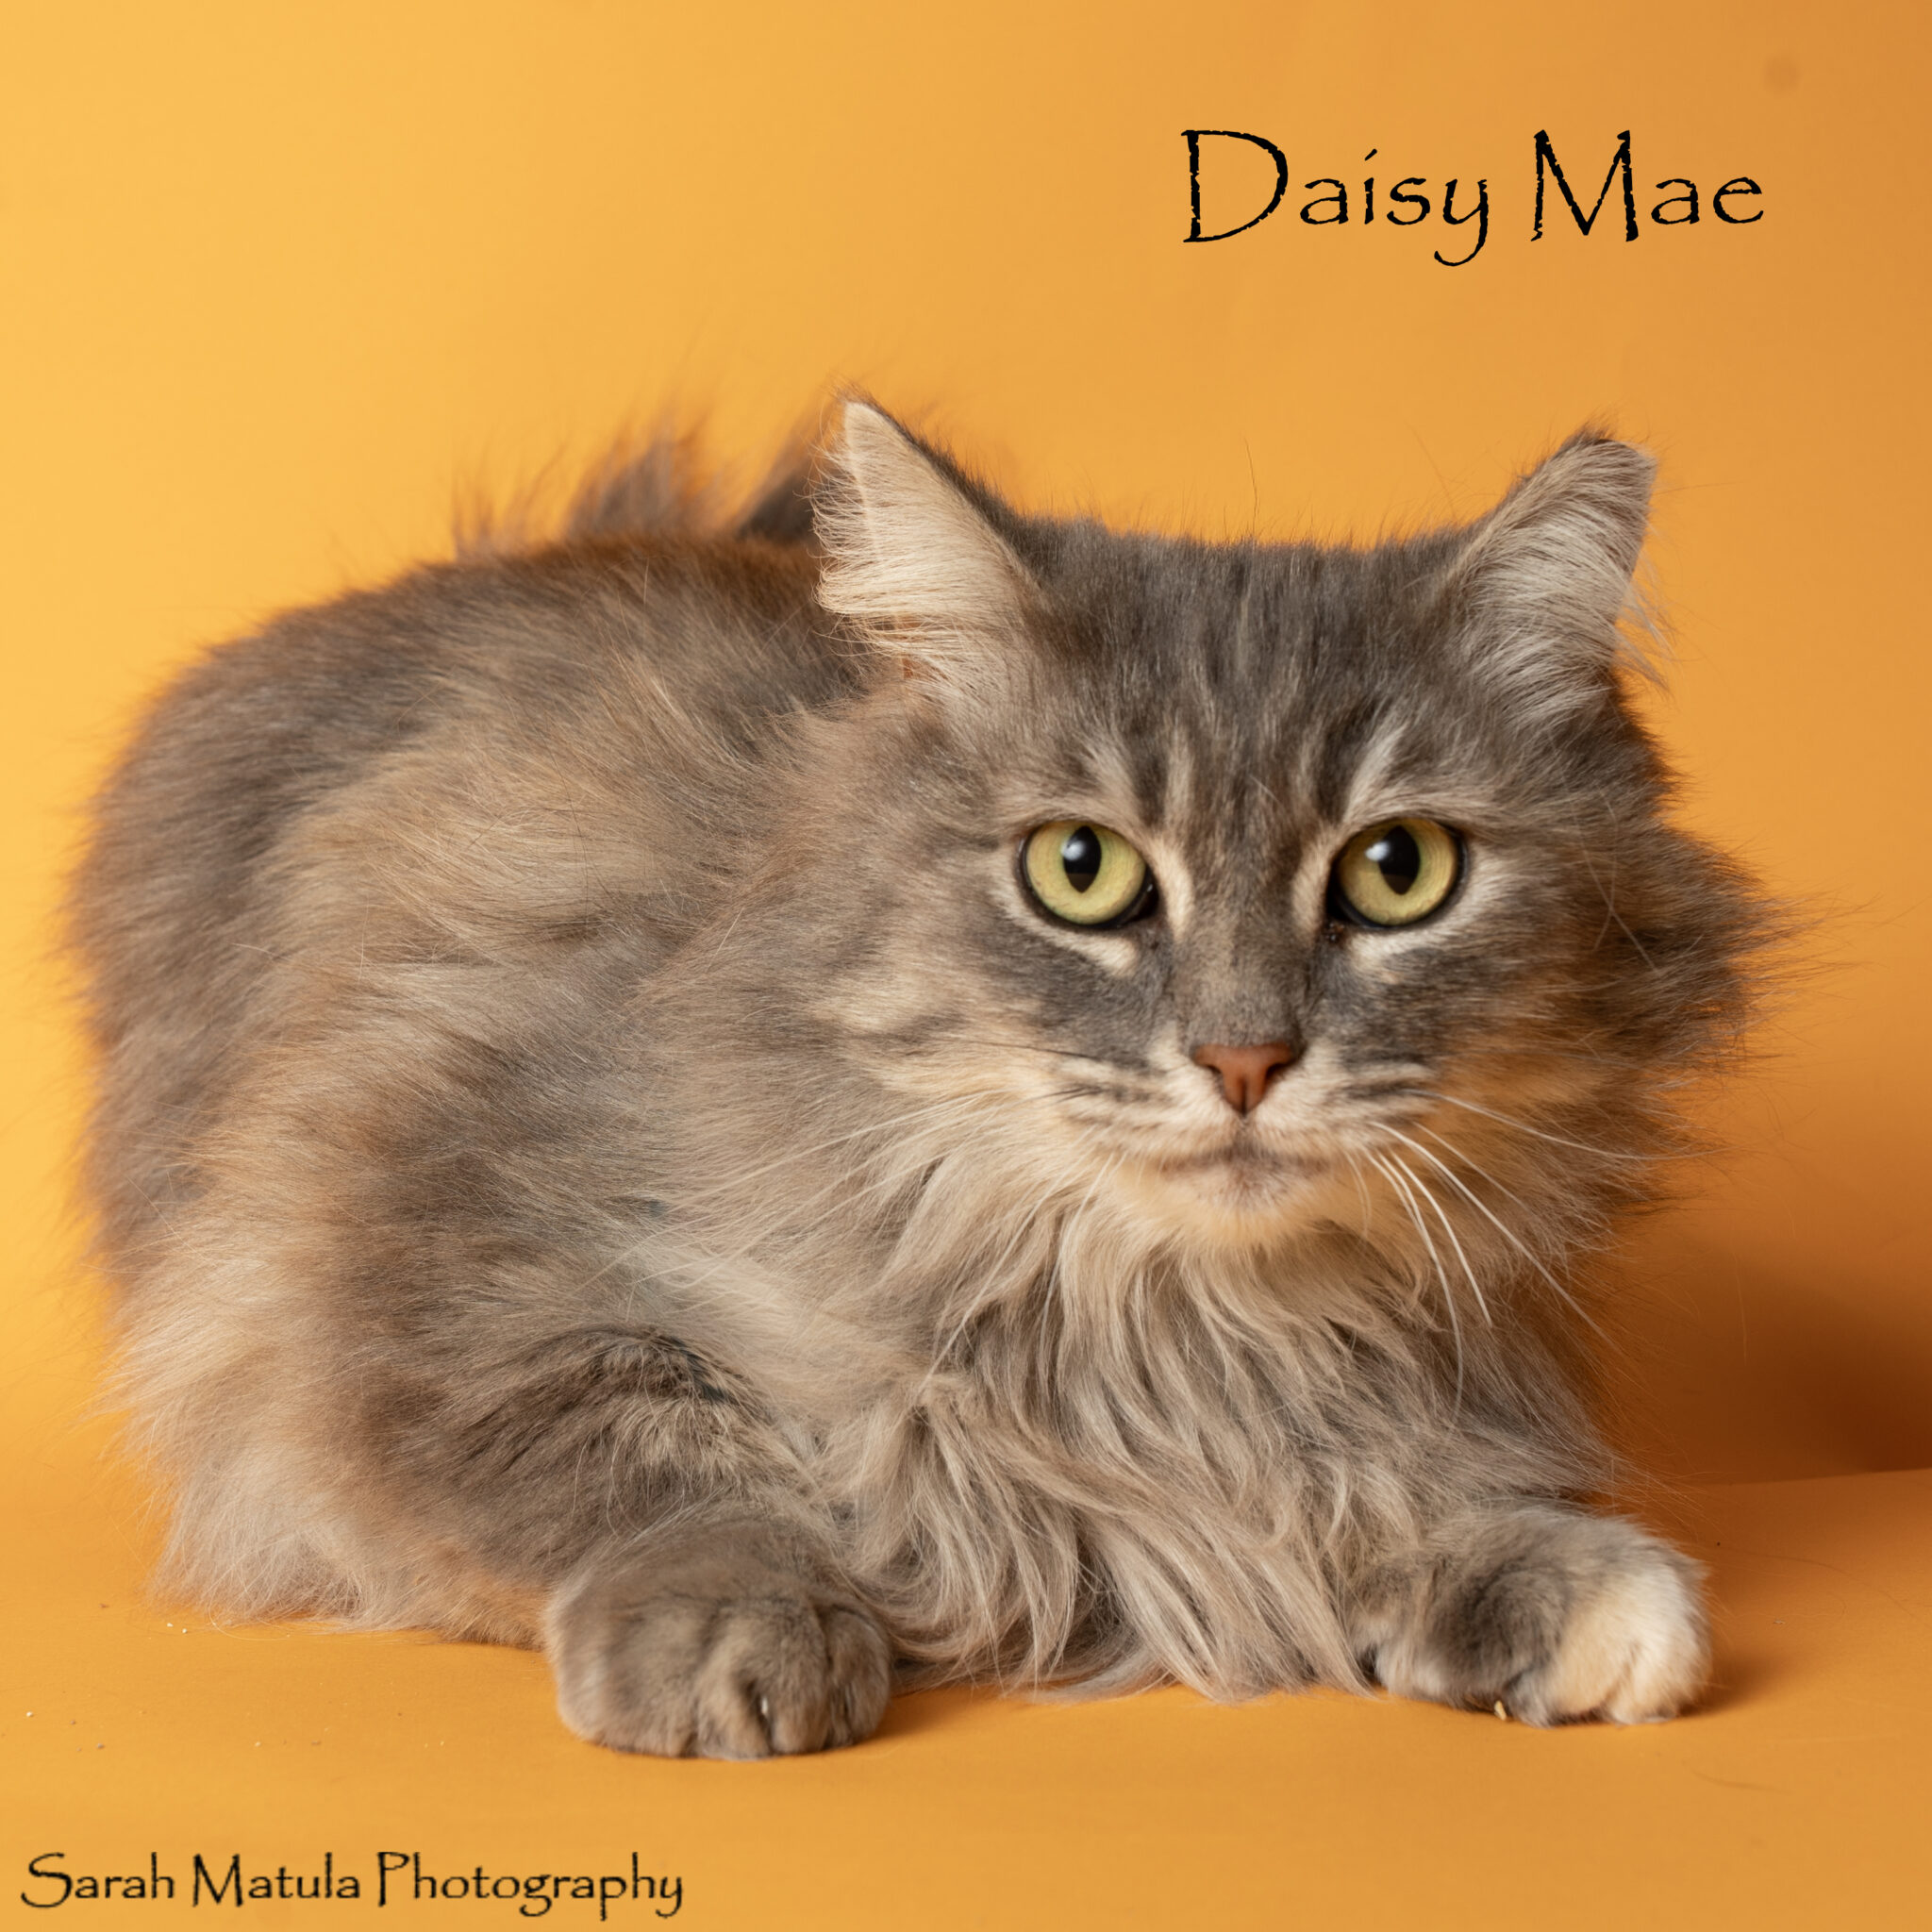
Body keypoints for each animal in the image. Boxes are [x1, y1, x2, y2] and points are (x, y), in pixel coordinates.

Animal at [67, 399, 1764, 1757]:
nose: (1242, 1055)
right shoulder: (414, 1240)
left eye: (1397, 872)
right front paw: (741, 1628)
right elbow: (664, 1451)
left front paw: (1529, 1571)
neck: (1154, 1317)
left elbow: (1355, 1491)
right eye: (1079, 870)